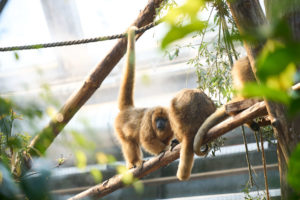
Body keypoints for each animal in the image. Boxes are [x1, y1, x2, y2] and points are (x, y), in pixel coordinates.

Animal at [113, 25, 173, 168]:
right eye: (157, 120)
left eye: (164, 120)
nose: (160, 124)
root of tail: (128, 109)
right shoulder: (148, 119)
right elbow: (147, 140)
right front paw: (165, 149)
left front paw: (170, 144)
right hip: (119, 126)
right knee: (129, 142)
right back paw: (134, 162)